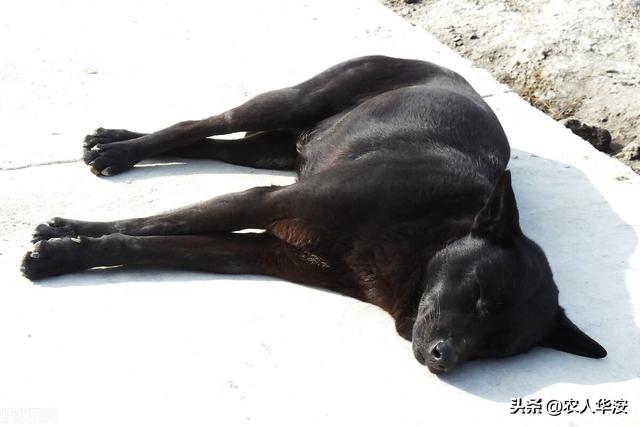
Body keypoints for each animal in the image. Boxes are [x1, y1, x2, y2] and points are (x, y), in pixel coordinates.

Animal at [22, 56, 608, 372]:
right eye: (480, 294)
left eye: (498, 348)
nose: (445, 359)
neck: (433, 235)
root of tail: (445, 67)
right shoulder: (269, 201)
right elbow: (150, 224)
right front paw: (64, 238)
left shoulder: (261, 251)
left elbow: (155, 244)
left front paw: (65, 252)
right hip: (293, 101)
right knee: (199, 125)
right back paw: (118, 151)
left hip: (273, 151)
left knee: (213, 143)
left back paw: (113, 142)